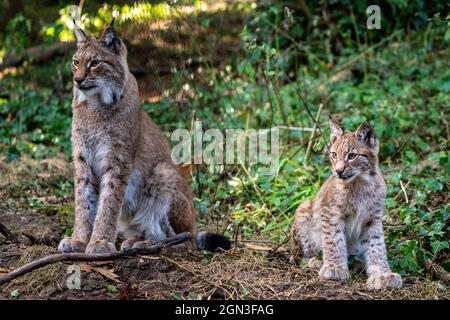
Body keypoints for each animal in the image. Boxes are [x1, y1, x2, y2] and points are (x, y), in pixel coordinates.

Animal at [290, 115, 402, 290]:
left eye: (352, 156)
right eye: (334, 154)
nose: (338, 171)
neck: (360, 182)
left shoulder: (373, 218)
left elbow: (377, 245)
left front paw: (382, 274)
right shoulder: (330, 213)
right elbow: (334, 240)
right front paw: (334, 267)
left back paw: (359, 263)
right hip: (304, 207)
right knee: (300, 257)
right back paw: (315, 262)